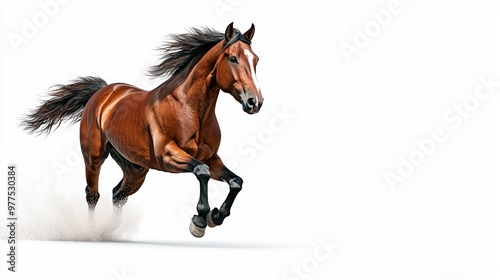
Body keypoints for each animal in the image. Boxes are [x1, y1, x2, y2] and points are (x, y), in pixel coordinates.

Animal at [21, 23, 264, 238]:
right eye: (232, 58)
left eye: (256, 60)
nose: (255, 102)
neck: (191, 109)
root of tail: (103, 92)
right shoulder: (168, 155)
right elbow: (201, 172)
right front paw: (199, 221)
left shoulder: (212, 158)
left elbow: (236, 181)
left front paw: (216, 216)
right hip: (94, 157)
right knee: (93, 195)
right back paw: (92, 233)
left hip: (136, 169)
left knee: (118, 194)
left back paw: (111, 232)